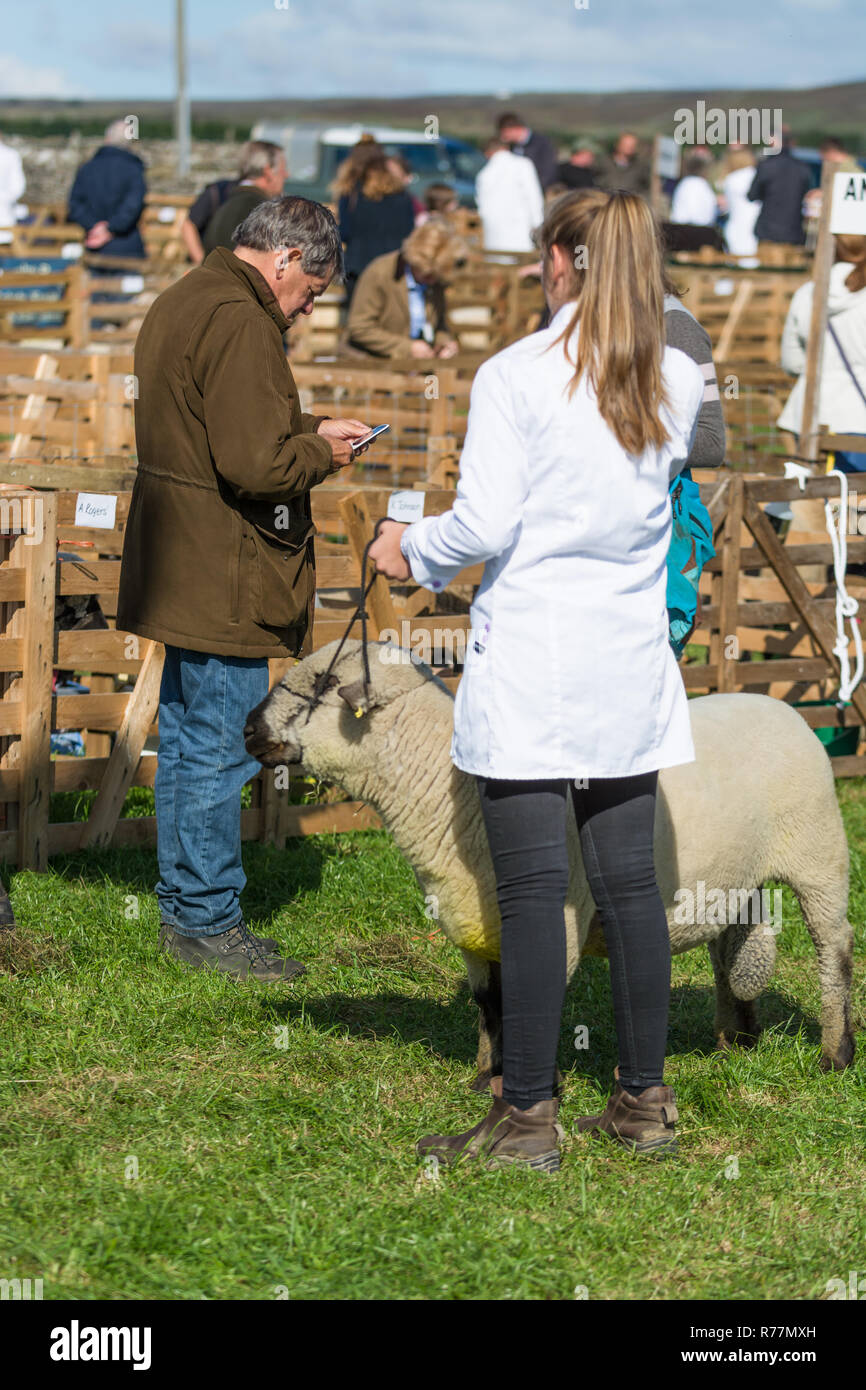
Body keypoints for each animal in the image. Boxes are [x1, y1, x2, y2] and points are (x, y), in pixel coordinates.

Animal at [241, 639, 856, 1084]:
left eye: (321, 684)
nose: (248, 729)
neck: (451, 791)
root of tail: (781, 706)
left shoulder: (554, 917)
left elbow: (528, 1002)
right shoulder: (472, 923)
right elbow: (491, 1004)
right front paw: (485, 1077)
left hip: (819, 853)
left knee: (834, 948)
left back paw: (836, 1054)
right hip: (736, 876)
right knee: (730, 951)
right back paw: (736, 1042)